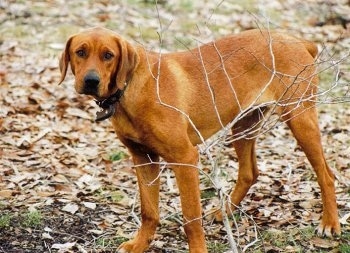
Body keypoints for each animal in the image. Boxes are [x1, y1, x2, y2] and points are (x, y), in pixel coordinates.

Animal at [58, 26, 340, 252]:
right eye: (80, 52)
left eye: (108, 55)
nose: (91, 81)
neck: (128, 90)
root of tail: (299, 41)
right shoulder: (143, 158)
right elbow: (149, 212)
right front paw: (140, 244)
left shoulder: (185, 159)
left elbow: (191, 220)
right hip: (244, 124)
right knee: (249, 172)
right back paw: (225, 211)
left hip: (300, 119)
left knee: (326, 174)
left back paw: (330, 224)